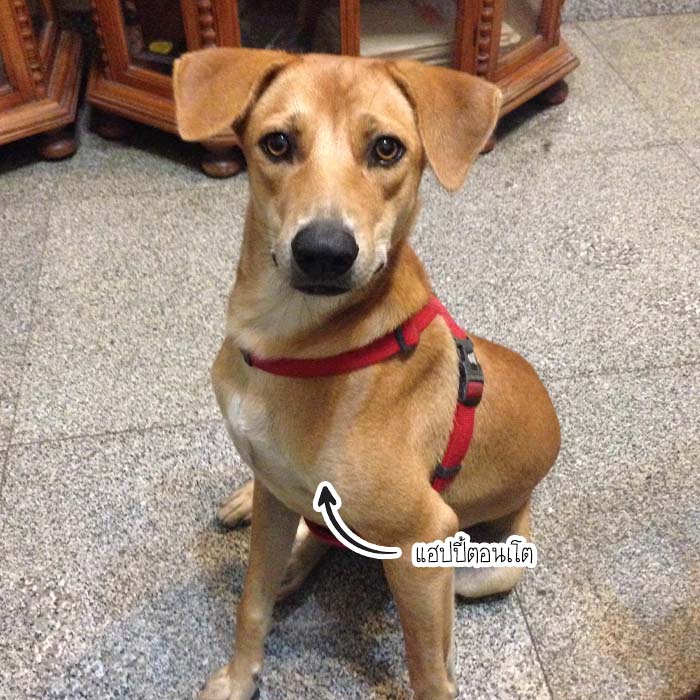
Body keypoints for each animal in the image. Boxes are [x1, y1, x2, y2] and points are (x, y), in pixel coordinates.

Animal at [173, 47, 561, 700]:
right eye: (277, 143)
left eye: (386, 149)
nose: (324, 252)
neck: (290, 341)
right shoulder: (275, 488)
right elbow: (252, 601)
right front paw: (240, 676)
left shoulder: (422, 537)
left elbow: (428, 670)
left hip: (487, 554)